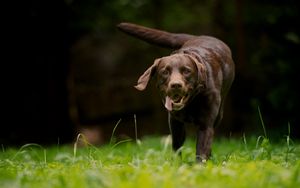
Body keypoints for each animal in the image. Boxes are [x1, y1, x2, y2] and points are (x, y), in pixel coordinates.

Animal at [117, 22, 234, 162]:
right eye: (165, 72)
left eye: (187, 71)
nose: (176, 85)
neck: (190, 103)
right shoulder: (175, 122)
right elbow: (177, 147)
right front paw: (176, 163)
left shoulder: (206, 124)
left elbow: (201, 150)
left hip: (219, 113)